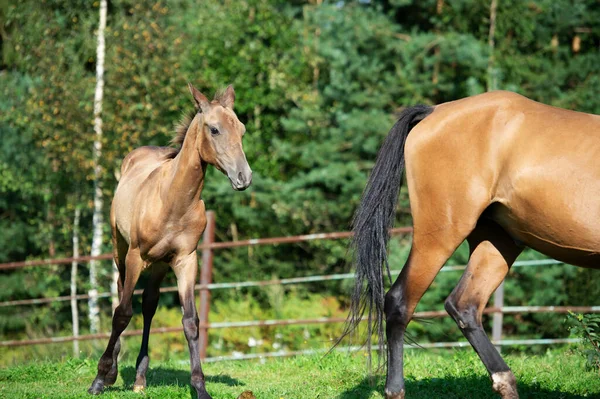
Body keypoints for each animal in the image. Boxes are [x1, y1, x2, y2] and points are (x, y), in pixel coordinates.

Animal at [88, 83, 252, 398]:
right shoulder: (135, 256)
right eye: (215, 129)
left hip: (159, 265)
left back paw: (140, 378)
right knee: (121, 296)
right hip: (120, 250)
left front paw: (200, 387)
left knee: (149, 305)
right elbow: (122, 313)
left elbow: (190, 321)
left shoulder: (186, 260)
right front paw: (100, 378)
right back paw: (113, 371)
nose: (244, 177)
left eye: (242, 129)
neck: (173, 200)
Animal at [346, 90, 600, 399]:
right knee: (399, 302)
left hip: (495, 242)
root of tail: (434, 111)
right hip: (440, 233)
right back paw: (395, 390)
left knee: (464, 306)